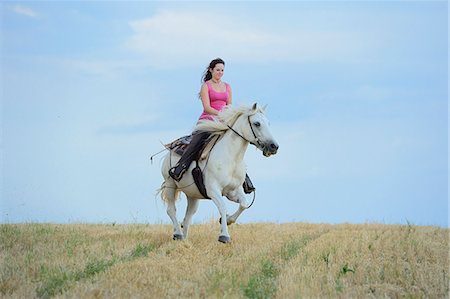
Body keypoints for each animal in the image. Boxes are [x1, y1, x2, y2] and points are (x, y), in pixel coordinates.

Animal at [158, 103, 278, 244]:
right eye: (257, 123)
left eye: (268, 123)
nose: (274, 146)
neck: (231, 159)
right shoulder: (213, 190)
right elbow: (223, 207)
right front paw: (224, 235)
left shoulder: (233, 191)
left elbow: (244, 204)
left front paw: (228, 220)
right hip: (170, 184)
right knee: (171, 210)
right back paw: (177, 234)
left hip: (192, 195)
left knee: (188, 218)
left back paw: (185, 240)